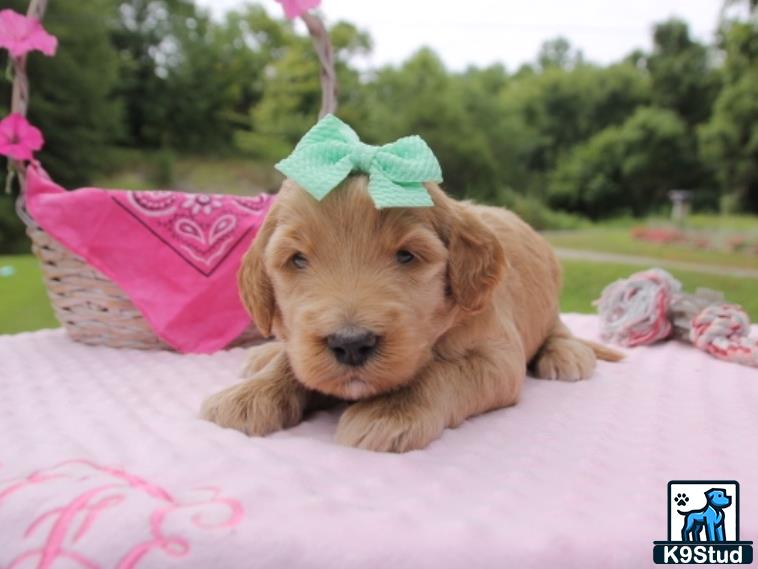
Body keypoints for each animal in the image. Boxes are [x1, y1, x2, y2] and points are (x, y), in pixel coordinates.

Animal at [203, 175, 624, 450]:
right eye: (298, 259)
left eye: (406, 256)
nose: (351, 344)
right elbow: (294, 363)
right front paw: (249, 396)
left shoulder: (499, 357)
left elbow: (440, 372)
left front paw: (391, 410)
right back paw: (262, 353)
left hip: (549, 303)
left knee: (558, 328)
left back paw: (566, 353)